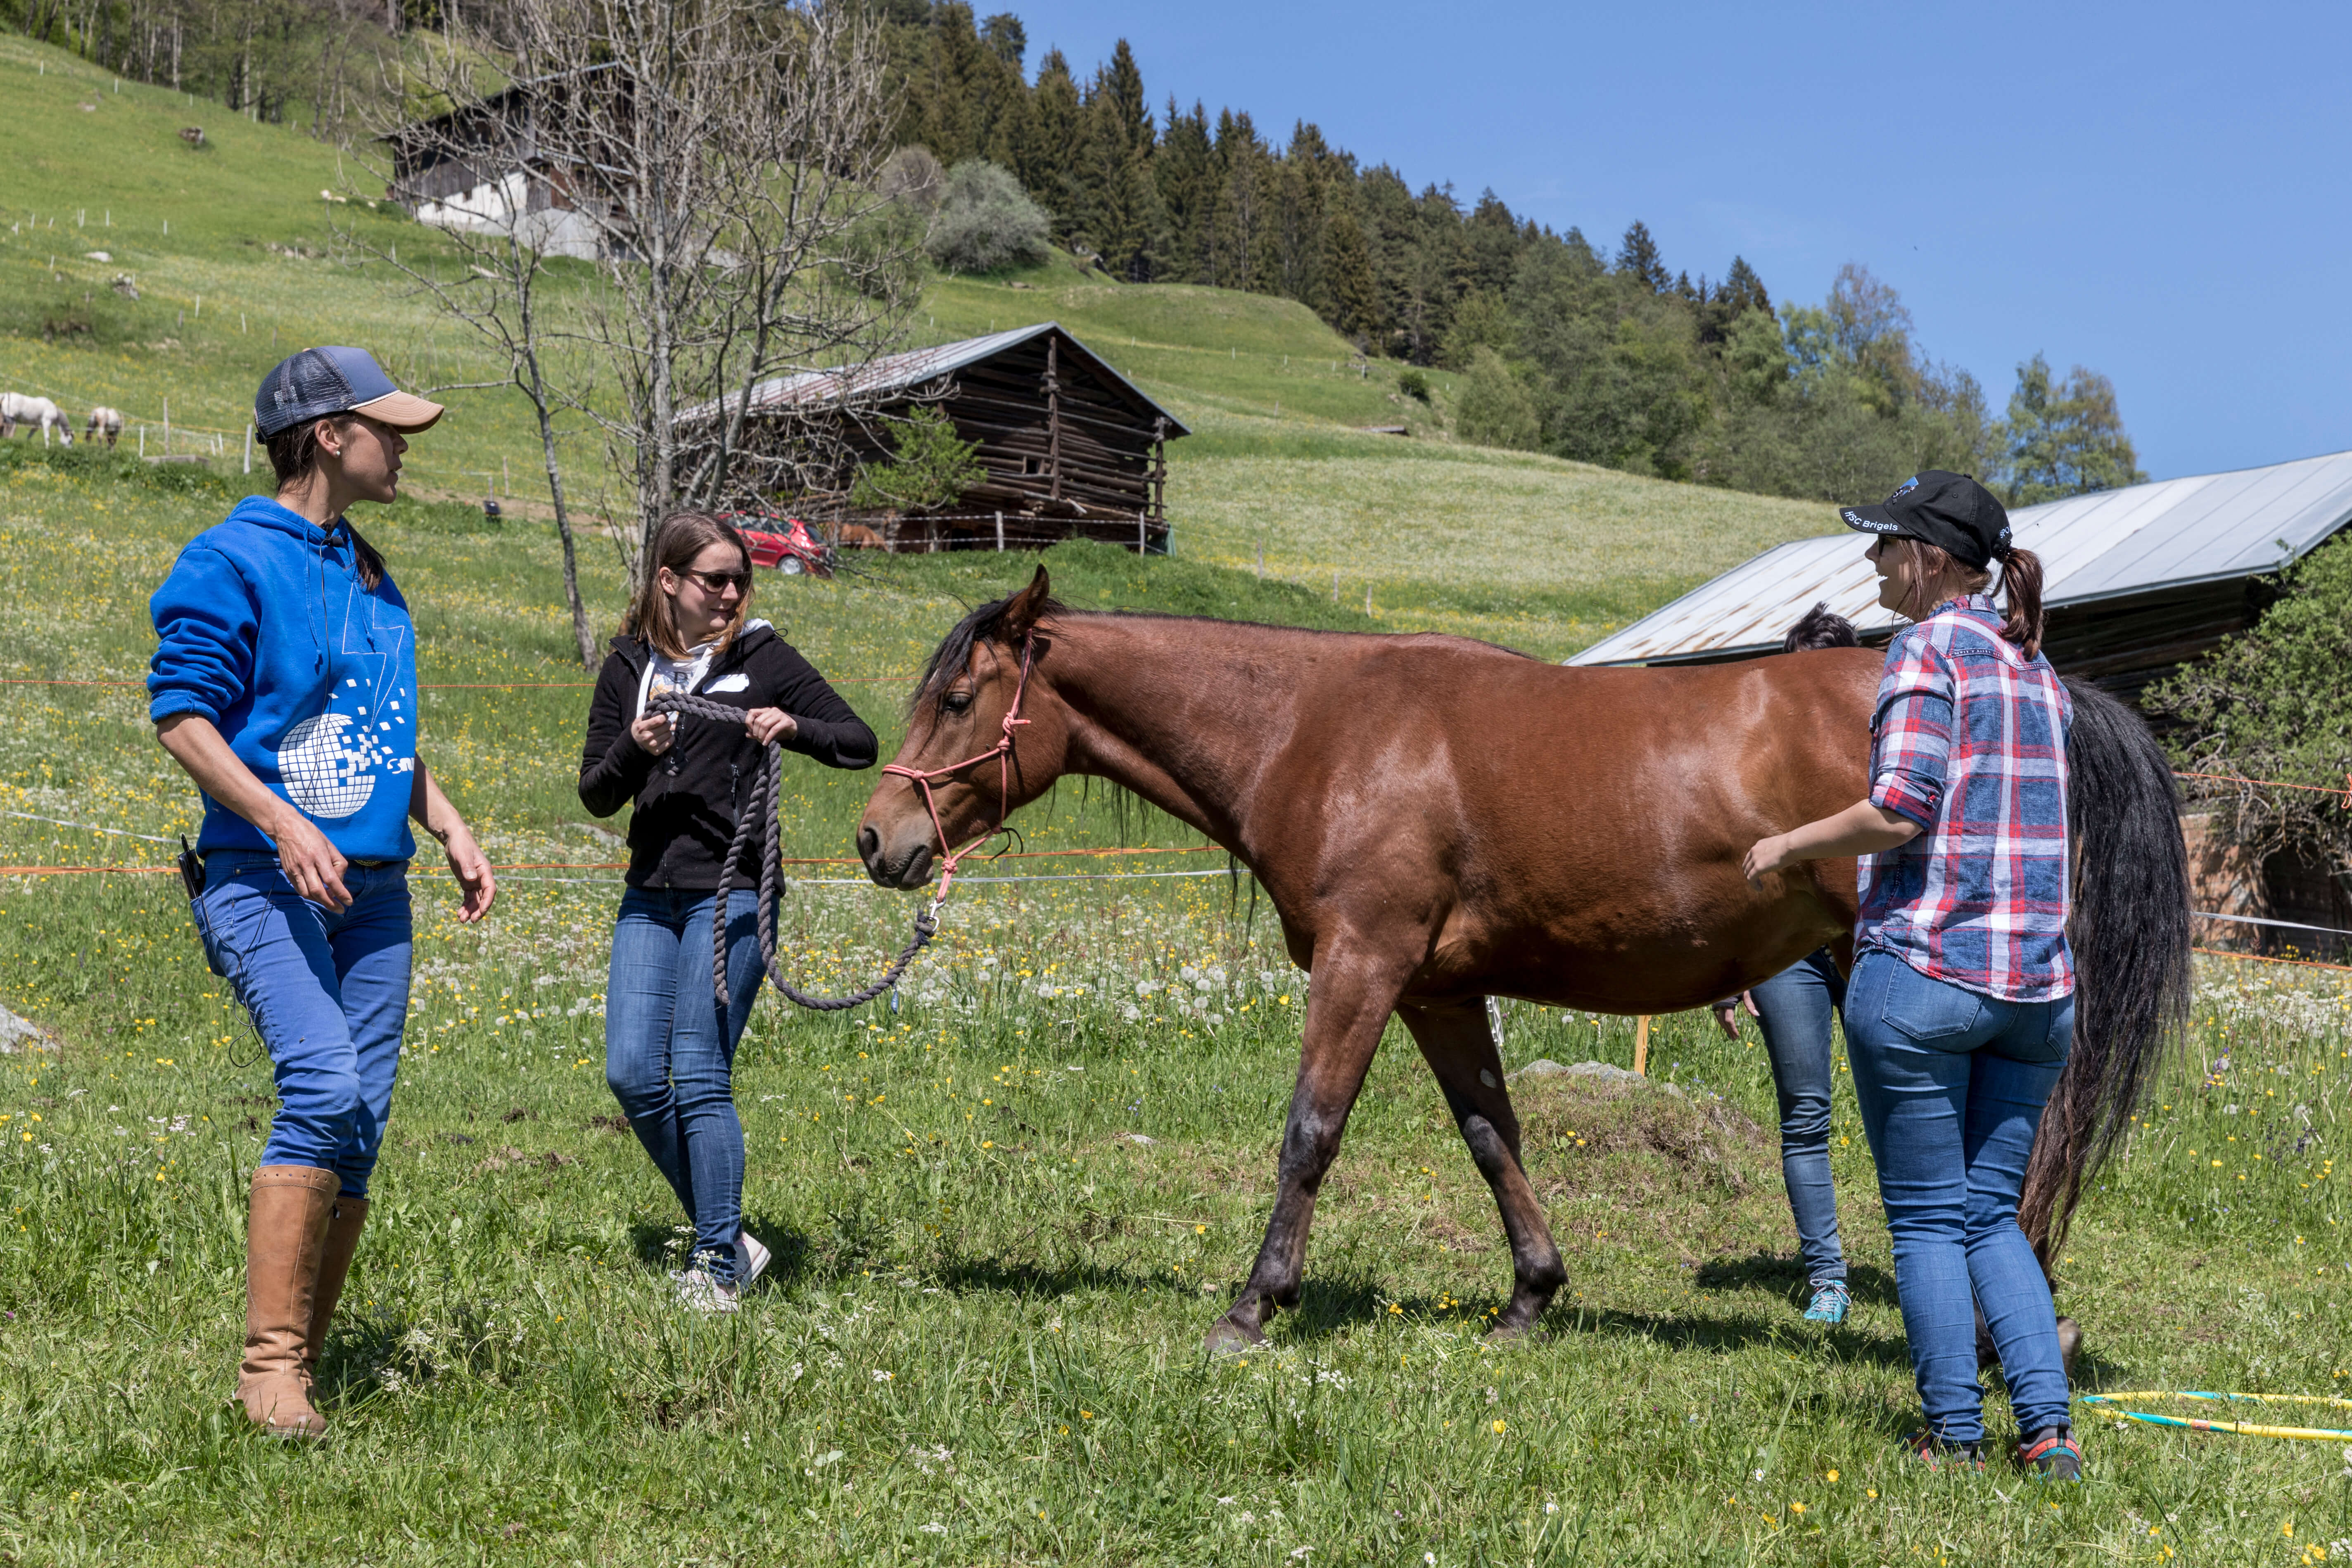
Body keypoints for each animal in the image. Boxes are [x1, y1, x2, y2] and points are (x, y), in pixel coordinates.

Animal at [0, 395, 74, 444]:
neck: (54, 411)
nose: (69, 450)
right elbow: (47, 437)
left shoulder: (36, 426)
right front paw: (47, 449)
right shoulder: (47, 423)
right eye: (70, 441)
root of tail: (4, 396)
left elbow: (30, 435)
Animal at [856, 571, 2192, 1354]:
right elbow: (1491, 1133)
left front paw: (1254, 1303)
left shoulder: (1360, 964)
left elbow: (1308, 1132)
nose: (879, 839)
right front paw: (1529, 1296)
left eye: (960, 696)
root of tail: (2035, 685)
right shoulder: (1438, 989)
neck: (1318, 728)